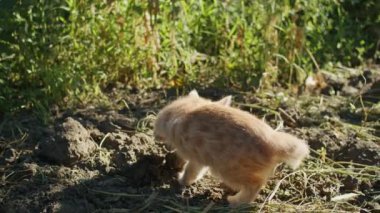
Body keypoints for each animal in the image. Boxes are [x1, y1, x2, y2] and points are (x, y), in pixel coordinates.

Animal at [154, 90, 308, 206]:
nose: (155, 134)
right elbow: (197, 172)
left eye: (163, 118)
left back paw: (234, 201)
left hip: (230, 171)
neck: (188, 110)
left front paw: (180, 181)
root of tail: (274, 144)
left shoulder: (196, 157)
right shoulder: (202, 159)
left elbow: (190, 172)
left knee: (255, 185)